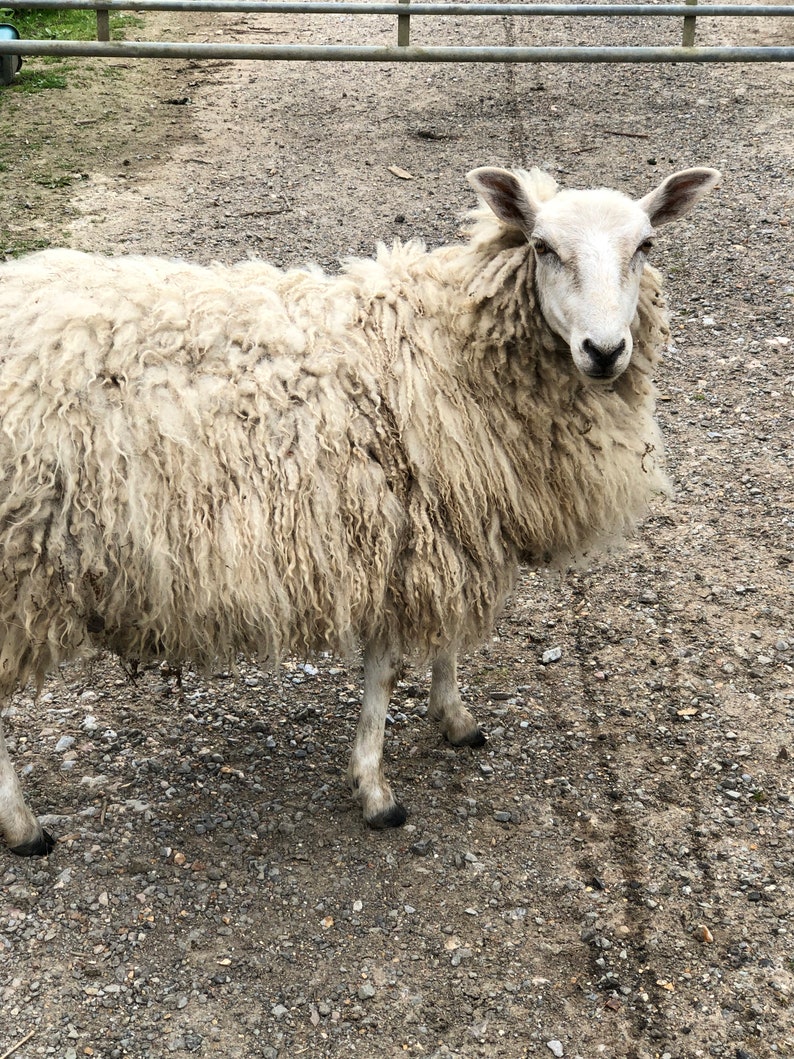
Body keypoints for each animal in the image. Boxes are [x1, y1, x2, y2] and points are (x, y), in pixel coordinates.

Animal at [0, 163, 721, 855]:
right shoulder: (399, 535)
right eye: (543, 247)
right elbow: (384, 673)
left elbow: (443, 641)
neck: (448, 343)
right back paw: (24, 827)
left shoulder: (444, 528)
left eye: (645, 246)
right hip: (17, 566)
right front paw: (376, 788)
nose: (605, 352)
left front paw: (453, 717)